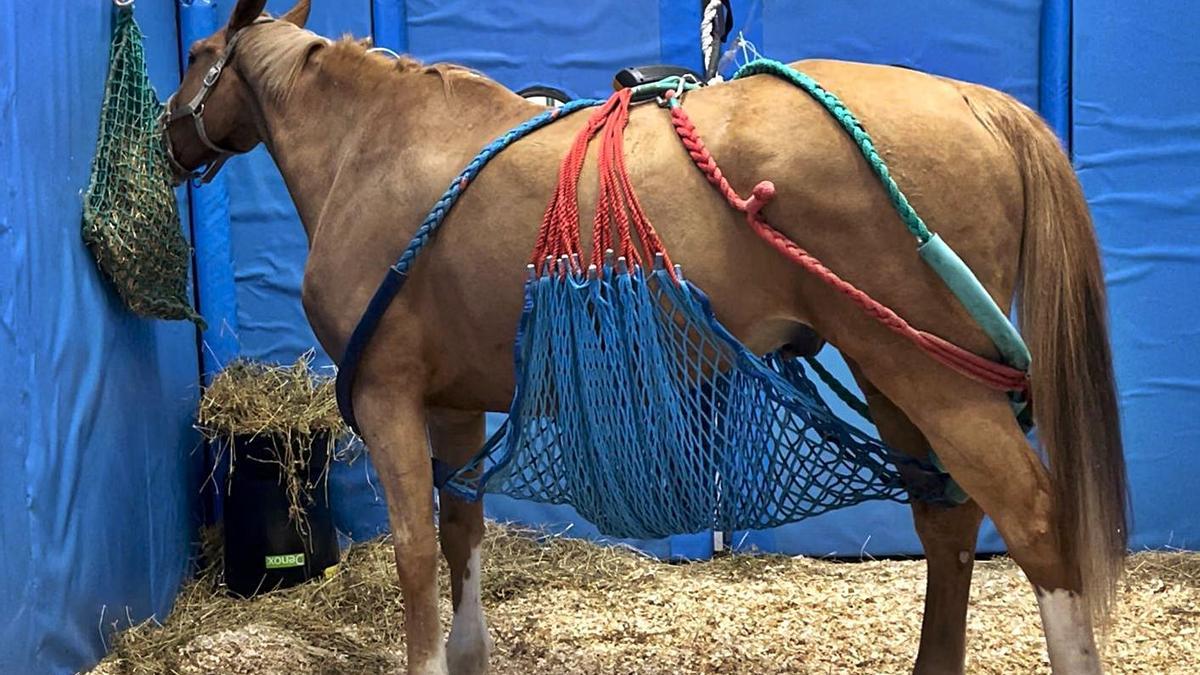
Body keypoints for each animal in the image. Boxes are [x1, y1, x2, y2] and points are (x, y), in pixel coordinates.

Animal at [164, 2, 1128, 667]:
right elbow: (462, 535)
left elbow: (414, 556)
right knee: (949, 525)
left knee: (1034, 523)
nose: (170, 136)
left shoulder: (388, 396)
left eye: (196, 57)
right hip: (895, 375)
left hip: (935, 376)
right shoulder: (454, 409)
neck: (377, 150)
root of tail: (976, 101)